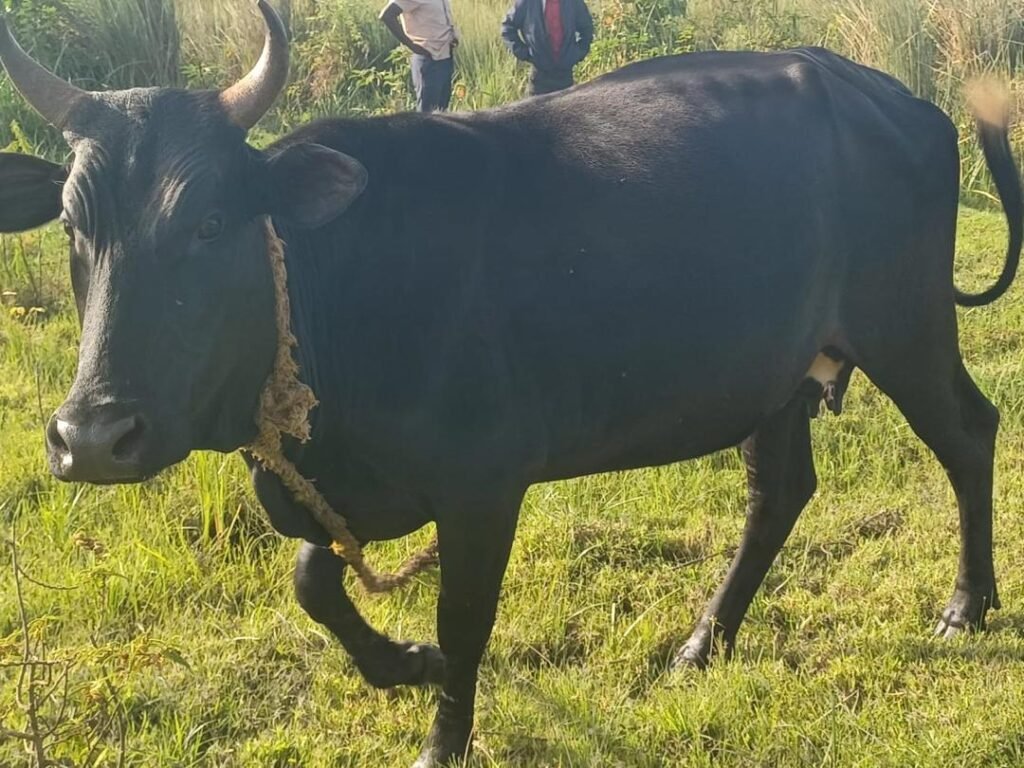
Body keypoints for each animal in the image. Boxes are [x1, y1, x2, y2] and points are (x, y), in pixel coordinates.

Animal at [1, 2, 1021, 765]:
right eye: (73, 226)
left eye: (210, 221)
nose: (92, 439)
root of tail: (887, 96)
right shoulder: (343, 489)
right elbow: (313, 583)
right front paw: (403, 662)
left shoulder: (483, 486)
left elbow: (463, 621)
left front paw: (439, 735)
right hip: (776, 377)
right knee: (780, 492)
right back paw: (704, 641)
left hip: (906, 326)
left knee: (969, 432)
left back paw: (964, 607)